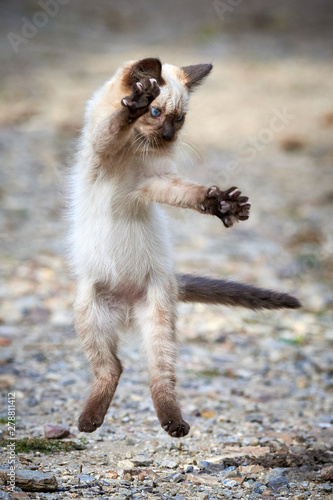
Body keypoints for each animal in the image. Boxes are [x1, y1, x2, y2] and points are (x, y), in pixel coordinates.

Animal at [68, 55, 300, 438]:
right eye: (155, 112)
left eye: (179, 118)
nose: (167, 136)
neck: (133, 154)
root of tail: (126, 307)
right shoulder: (100, 152)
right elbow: (113, 126)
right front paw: (134, 102)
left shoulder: (156, 183)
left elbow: (192, 194)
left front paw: (225, 205)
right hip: (90, 312)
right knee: (112, 367)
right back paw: (90, 422)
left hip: (158, 319)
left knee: (156, 374)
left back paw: (173, 425)